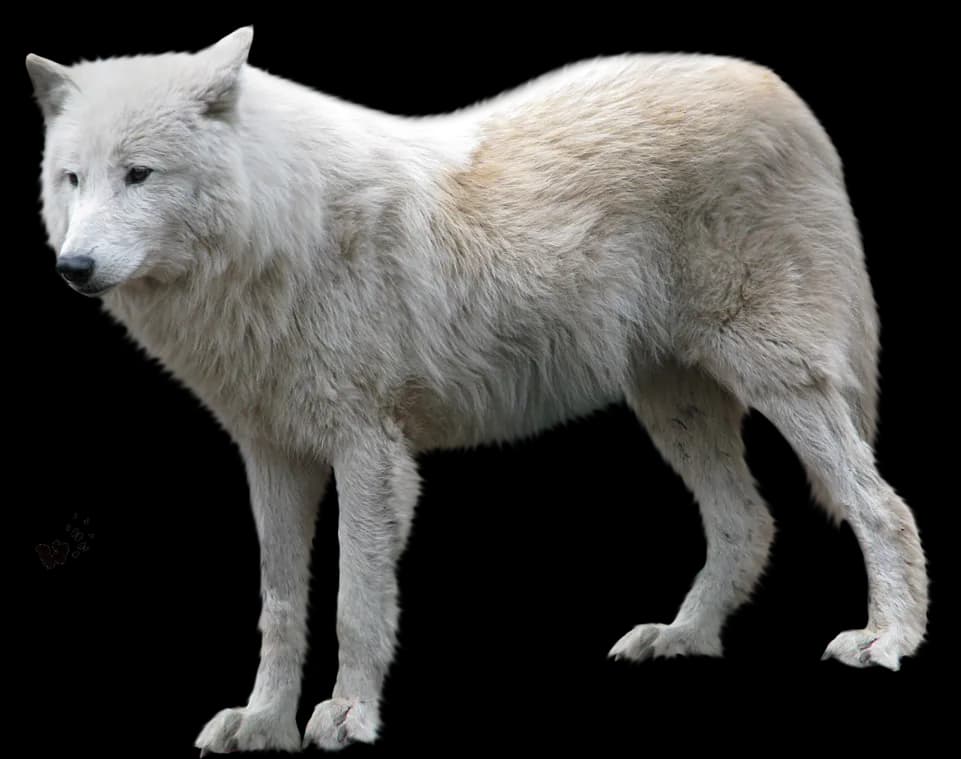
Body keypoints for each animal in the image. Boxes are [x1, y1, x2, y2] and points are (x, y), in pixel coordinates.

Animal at [27, 27, 927, 754]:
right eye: (73, 178)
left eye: (139, 174)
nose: (74, 268)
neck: (279, 232)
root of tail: (775, 87)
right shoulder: (273, 455)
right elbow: (280, 607)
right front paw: (264, 723)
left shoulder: (368, 450)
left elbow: (355, 600)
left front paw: (346, 715)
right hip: (672, 403)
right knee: (747, 521)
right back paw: (682, 635)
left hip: (778, 380)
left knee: (880, 506)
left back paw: (884, 639)